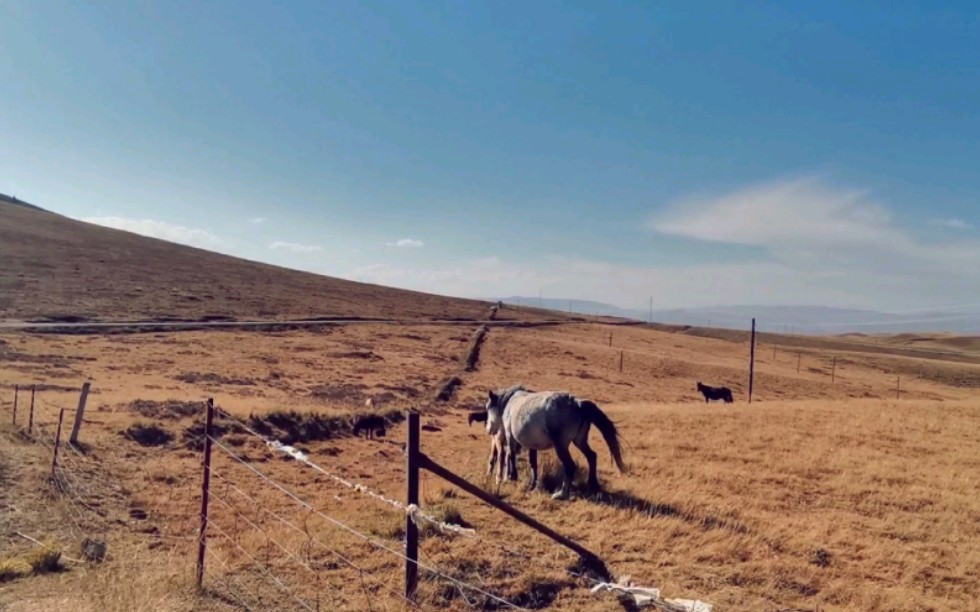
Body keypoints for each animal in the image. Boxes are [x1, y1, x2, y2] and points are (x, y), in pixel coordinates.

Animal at [484, 384, 628, 500]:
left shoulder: (510, 437)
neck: (511, 403)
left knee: (570, 465)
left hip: (561, 446)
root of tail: (577, 403)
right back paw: (593, 485)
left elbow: (511, 456)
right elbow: (533, 464)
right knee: (592, 456)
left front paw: (511, 477)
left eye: (488, 408)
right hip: (580, 441)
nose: (489, 430)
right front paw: (532, 485)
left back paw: (561, 494)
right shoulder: (532, 446)